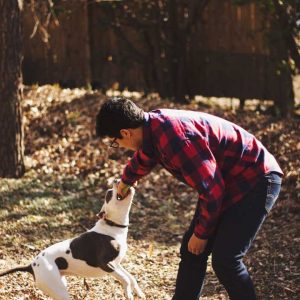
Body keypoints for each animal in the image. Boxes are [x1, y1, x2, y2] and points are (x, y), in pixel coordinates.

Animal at [0, 179, 145, 298]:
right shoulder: (106, 264)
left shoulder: (116, 264)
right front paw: (128, 293)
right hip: (59, 289)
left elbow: (131, 277)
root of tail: (31, 265)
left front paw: (139, 292)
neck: (111, 226)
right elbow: (126, 279)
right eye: (109, 194)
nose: (116, 180)